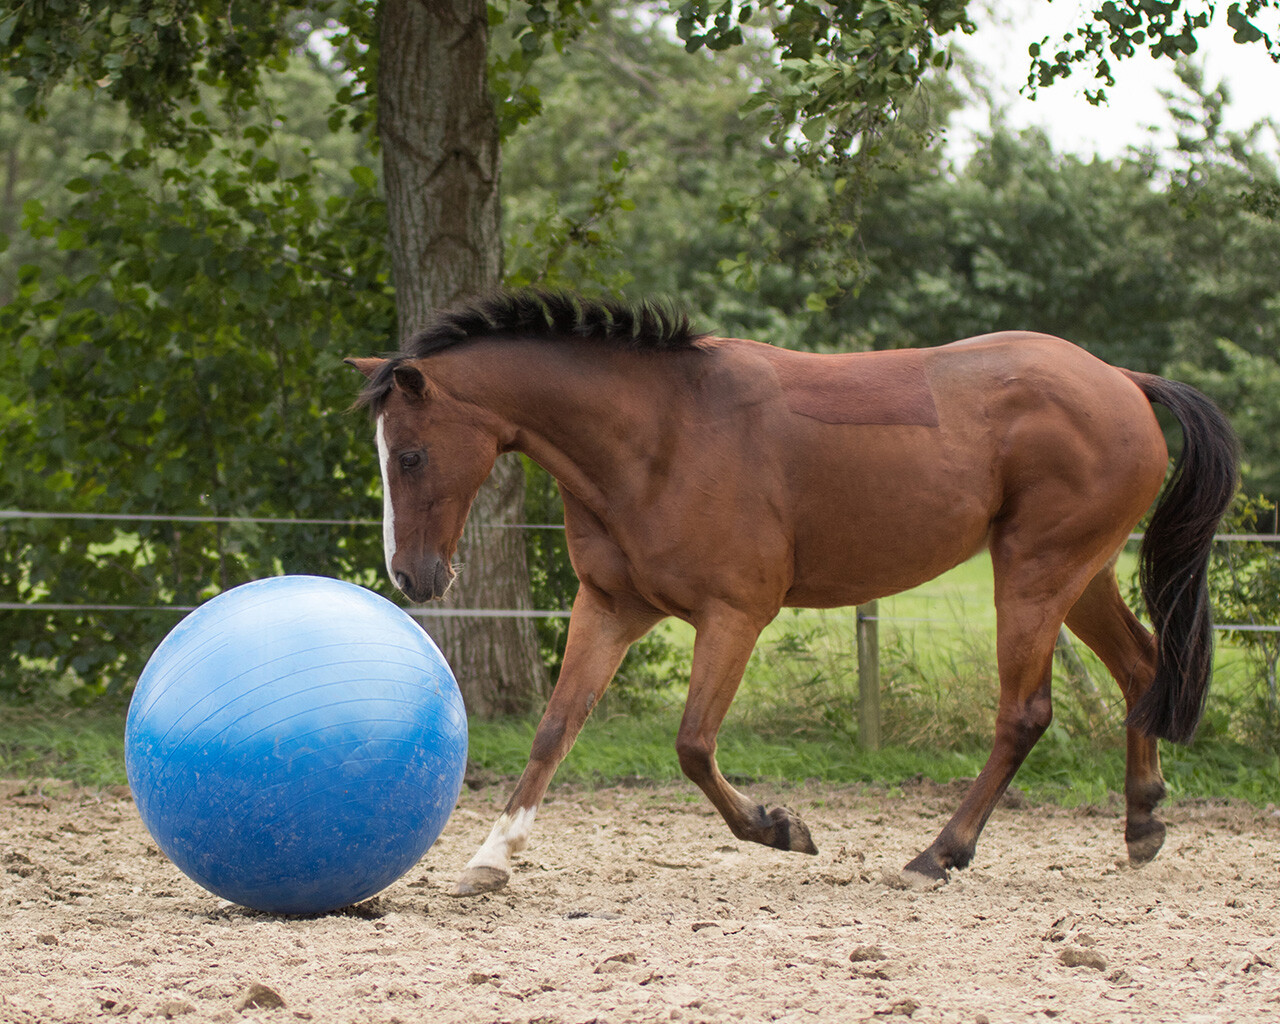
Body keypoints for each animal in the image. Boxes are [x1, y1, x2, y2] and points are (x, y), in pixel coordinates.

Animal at [345, 290, 1233, 896]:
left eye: (411, 456)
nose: (412, 577)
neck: (659, 436)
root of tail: (1122, 380)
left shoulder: (734, 615)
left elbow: (692, 745)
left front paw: (782, 829)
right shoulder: (609, 608)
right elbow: (554, 731)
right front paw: (490, 858)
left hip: (1032, 574)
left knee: (1025, 714)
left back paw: (935, 855)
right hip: (1078, 575)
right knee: (1141, 668)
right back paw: (1143, 823)